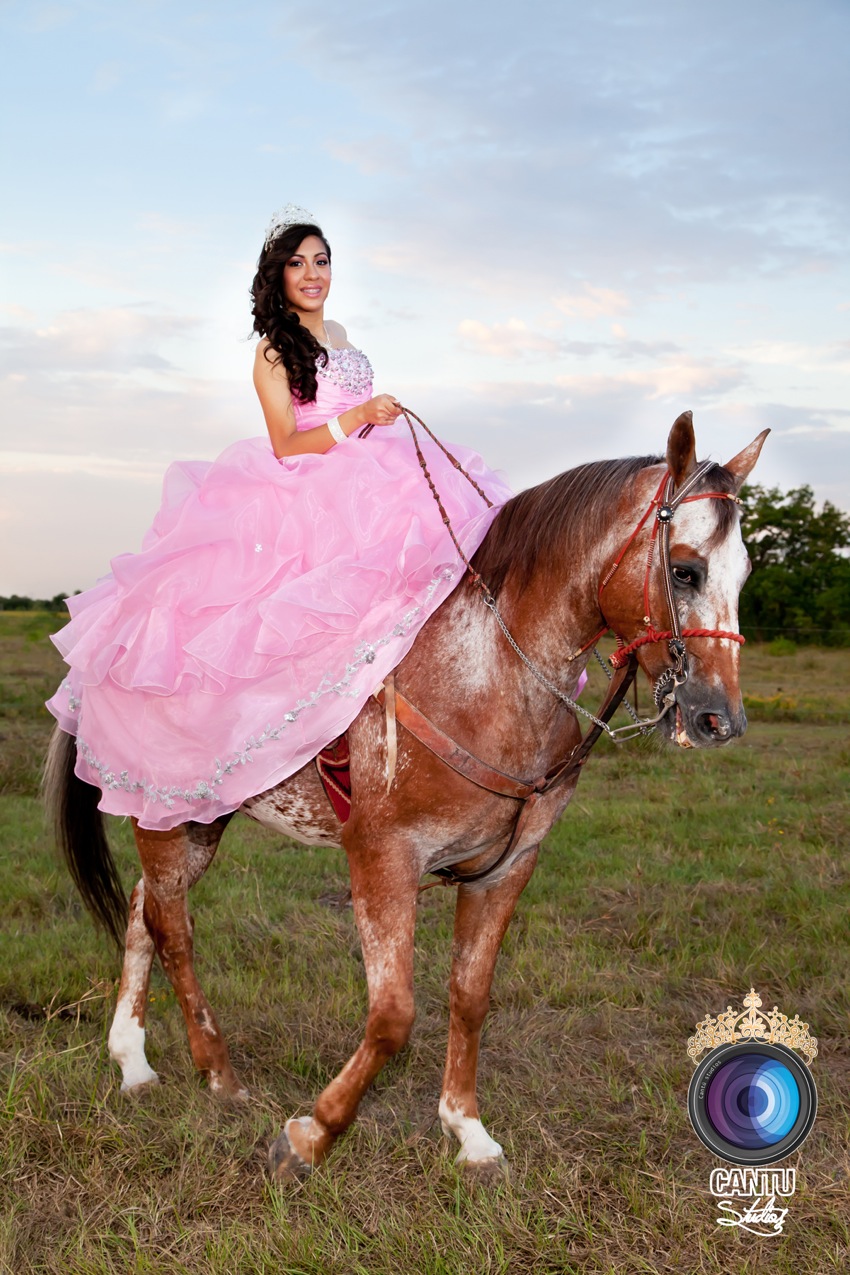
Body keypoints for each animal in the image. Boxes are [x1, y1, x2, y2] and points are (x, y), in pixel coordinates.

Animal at [43, 413, 769, 1178]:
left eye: (745, 571)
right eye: (685, 569)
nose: (720, 719)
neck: (488, 677)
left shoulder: (507, 869)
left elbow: (470, 996)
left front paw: (468, 1131)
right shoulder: (383, 861)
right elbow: (393, 1014)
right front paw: (310, 1135)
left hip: (195, 817)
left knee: (142, 912)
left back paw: (133, 1062)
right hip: (165, 812)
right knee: (172, 928)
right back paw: (217, 1073)